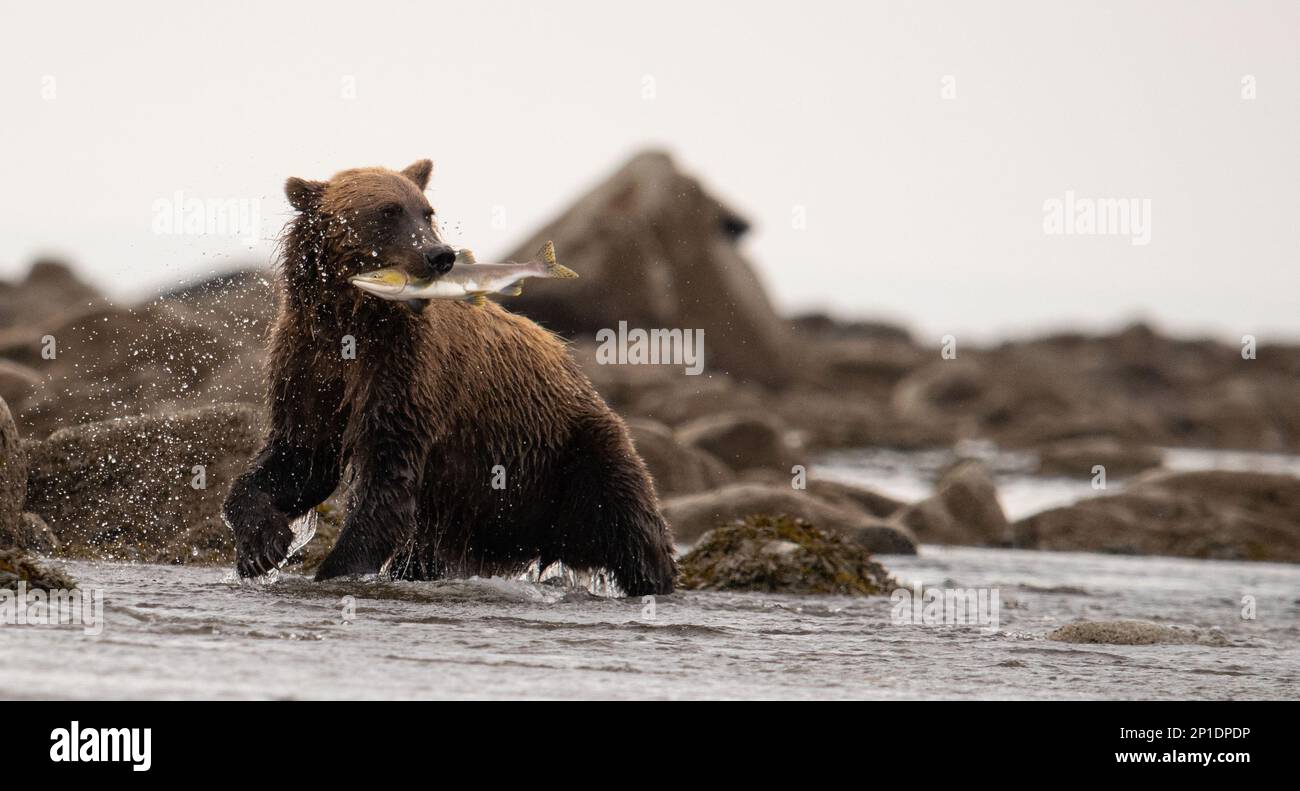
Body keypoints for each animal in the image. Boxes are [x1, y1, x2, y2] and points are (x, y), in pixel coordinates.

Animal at [218, 159, 676, 593]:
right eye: (388, 211)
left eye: (426, 211)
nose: (440, 255)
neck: (356, 319)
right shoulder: (311, 363)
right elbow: (300, 457)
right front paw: (262, 546)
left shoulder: (407, 371)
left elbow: (387, 483)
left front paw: (335, 568)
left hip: (574, 454)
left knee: (631, 524)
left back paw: (656, 580)